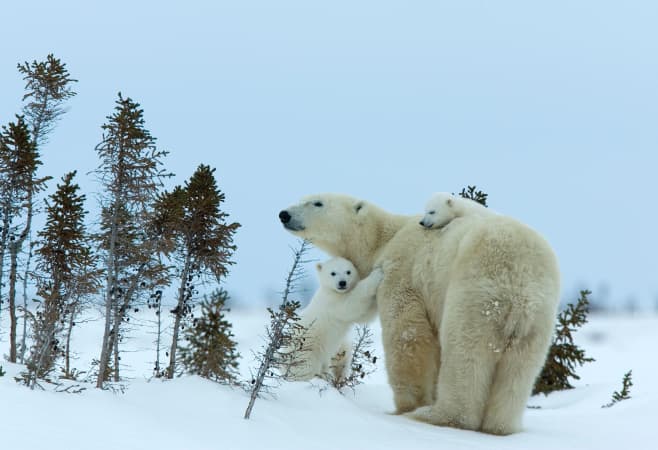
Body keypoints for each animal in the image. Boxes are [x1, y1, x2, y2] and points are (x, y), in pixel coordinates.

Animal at [278, 194, 560, 435]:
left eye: (317, 202)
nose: (284, 214)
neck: (385, 236)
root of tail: (522, 275)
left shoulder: (404, 269)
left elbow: (407, 334)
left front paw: (407, 406)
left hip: (477, 288)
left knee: (464, 350)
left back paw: (435, 414)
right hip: (538, 314)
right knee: (520, 368)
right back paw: (500, 426)